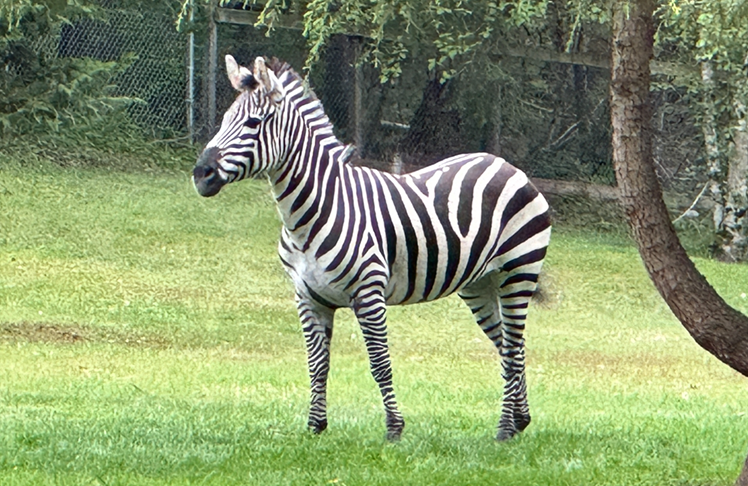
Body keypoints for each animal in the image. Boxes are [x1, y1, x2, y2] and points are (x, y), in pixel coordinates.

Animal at [193, 53, 548, 440]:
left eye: (253, 123)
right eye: (225, 120)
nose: (200, 174)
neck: (313, 212)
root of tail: (505, 164)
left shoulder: (368, 293)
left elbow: (379, 363)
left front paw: (394, 429)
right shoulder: (307, 297)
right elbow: (317, 364)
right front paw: (316, 427)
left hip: (518, 272)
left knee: (512, 347)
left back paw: (504, 429)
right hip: (479, 283)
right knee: (508, 346)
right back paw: (520, 420)